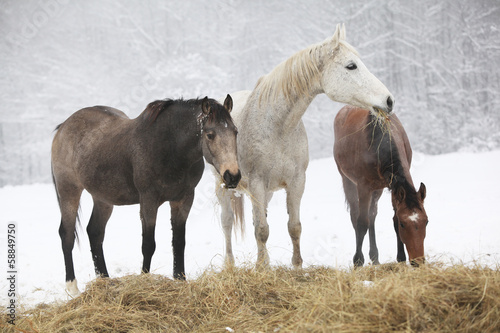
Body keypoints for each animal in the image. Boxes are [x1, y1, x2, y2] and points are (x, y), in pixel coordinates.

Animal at [51, 94, 239, 294]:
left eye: (235, 132)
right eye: (210, 134)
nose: (233, 175)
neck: (169, 147)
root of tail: (63, 127)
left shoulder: (184, 199)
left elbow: (179, 242)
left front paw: (180, 280)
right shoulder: (149, 200)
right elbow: (148, 244)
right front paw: (144, 279)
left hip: (103, 199)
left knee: (94, 233)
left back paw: (105, 281)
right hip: (69, 190)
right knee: (67, 234)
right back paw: (72, 287)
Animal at [215, 24, 394, 268]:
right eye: (351, 66)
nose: (388, 100)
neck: (278, 126)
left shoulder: (296, 182)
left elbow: (293, 227)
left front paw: (296, 265)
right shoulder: (257, 183)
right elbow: (261, 230)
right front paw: (262, 268)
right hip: (223, 186)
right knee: (227, 223)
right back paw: (230, 265)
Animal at [334, 106, 428, 268]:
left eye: (426, 221)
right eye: (404, 224)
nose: (418, 261)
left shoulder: (393, 188)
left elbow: (391, 218)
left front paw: (401, 258)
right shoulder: (363, 187)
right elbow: (361, 223)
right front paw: (358, 260)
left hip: (377, 188)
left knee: (372, 216)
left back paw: (375, 257)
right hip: (348, 181)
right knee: (356, 216)